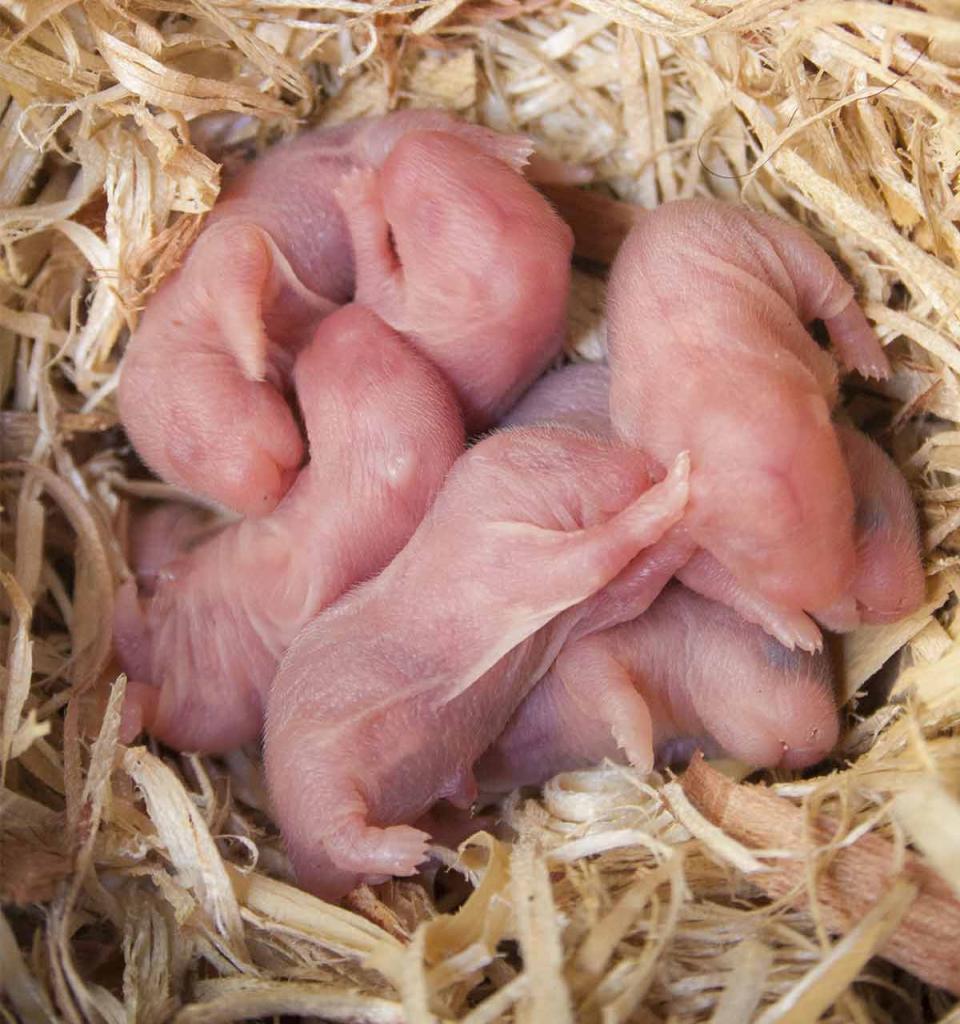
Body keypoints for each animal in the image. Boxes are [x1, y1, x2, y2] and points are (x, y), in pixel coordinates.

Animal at [112, 303, 464, 753]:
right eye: (396, 358)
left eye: (367, 374)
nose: (342, 318)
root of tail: (160, 678)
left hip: (185, 708)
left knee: (148, 696)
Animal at [120, 112, 548, 516]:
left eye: (186, 448)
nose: (269, 494)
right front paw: (265, 360)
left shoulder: (215, 255)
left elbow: (241, 262)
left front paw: (251, 355)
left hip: (377, 138)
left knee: (420, 126)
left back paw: (510, 148)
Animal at [262, 428, 687, 901]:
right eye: (566, 451)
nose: (645, 467)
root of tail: (306, 869)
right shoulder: (499, 555)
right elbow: (589, 558)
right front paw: (676, 489)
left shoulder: (572, 609)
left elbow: (630, 590)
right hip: (311, 774)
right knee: (337, 829)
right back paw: (403, 848)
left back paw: (466, 828)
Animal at [605, 200, 892, 614]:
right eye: (747, 557)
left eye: (846, 510)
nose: (827, 595)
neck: (721, 392)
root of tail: (660, 211)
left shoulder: (805, 361)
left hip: (767, 234)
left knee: (827, 287)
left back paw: (869, 361)